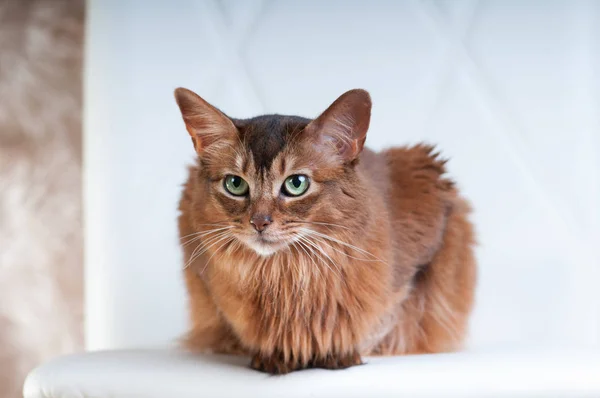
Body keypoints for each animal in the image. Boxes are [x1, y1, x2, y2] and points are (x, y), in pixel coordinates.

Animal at [175, 86, 478, 374]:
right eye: (235, 184)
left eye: (296, 183)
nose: (259, 222)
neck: (287, 272)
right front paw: (274, 355)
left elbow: (385, 323)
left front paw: (339, 353)